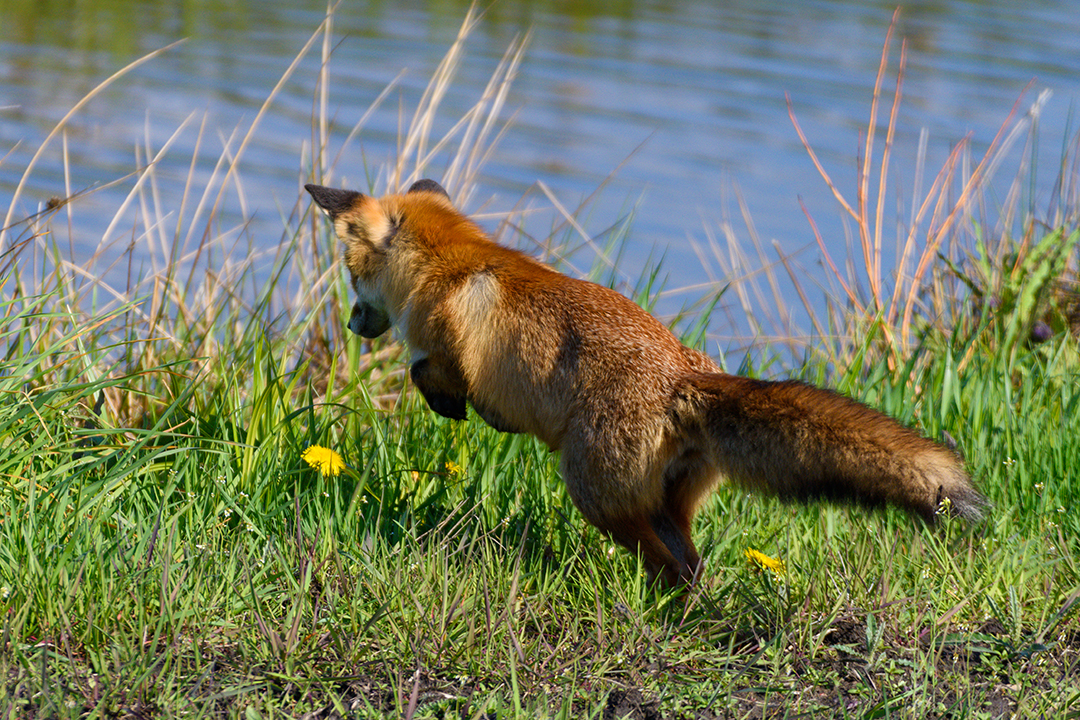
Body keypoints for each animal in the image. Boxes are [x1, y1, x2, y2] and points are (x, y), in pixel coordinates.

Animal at [304, 177, 989, 587]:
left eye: (350, 274)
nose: (352, 323)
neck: (454, 262)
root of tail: (684, 378)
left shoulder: (446, 348)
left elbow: (423, 368)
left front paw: (453, 407)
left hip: (597, 497)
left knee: (669, 568)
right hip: (661, 506)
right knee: (692, 565)